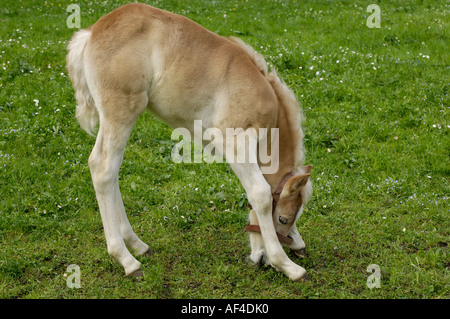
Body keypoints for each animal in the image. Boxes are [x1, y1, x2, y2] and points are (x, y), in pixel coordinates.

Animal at [67, 3, 312, 282]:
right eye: (282, 219)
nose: (264, 260)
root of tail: (91, 32)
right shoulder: (234, 142)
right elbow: (259, 193)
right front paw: (288, 266)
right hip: (122, 110)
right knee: (103, 169)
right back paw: (127, 260)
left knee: (109, 170)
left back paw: (137, 245)